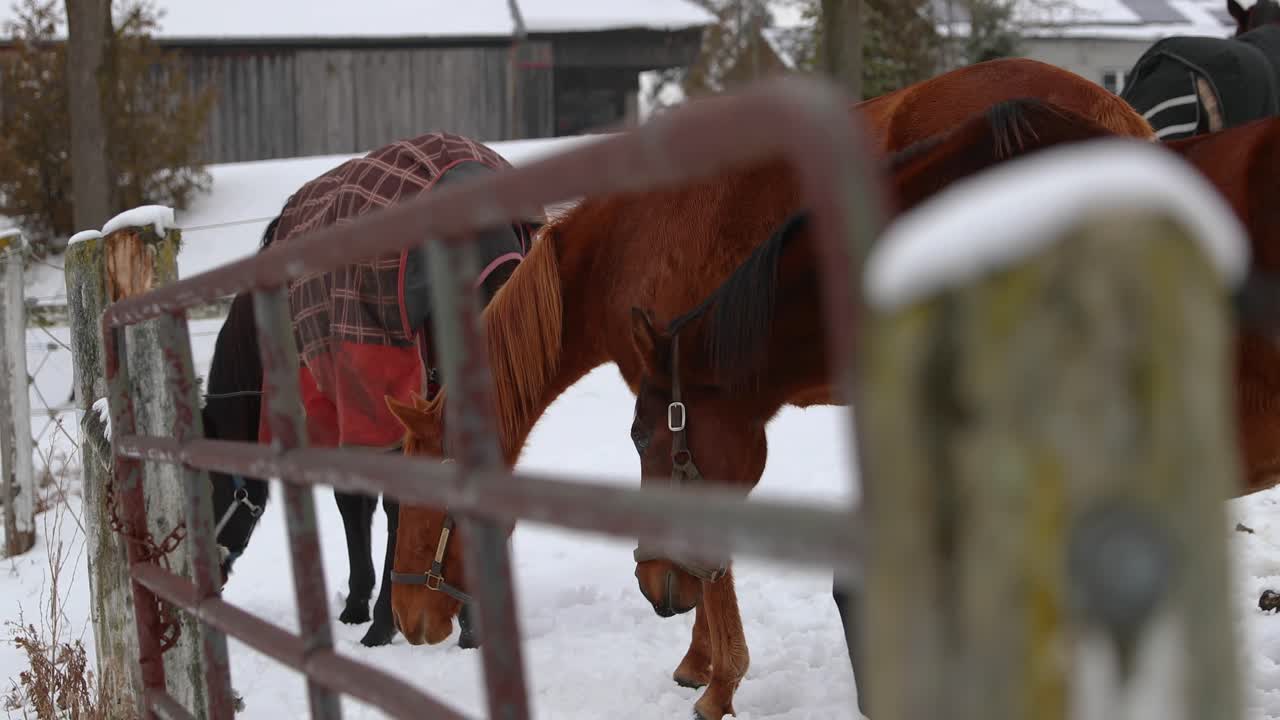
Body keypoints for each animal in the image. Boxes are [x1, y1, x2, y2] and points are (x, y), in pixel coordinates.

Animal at [201, 131, 538, 648]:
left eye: (207, 485)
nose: (207, 574)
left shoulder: (345, 410)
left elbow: (355, 500)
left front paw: (361, 606)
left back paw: (391, 621)